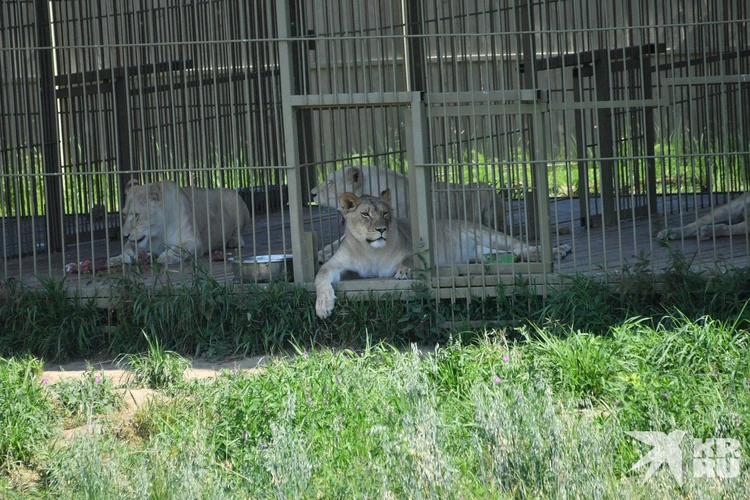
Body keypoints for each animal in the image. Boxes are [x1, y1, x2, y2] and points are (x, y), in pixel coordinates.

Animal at [110, 180, 253, 266]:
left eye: (136, 215)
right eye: (124, 214)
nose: (125, 235)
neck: (158, 233)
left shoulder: (194, 240)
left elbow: (179, 247)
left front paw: (167, 256)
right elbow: (127, 248)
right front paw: (118, 259)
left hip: (233, 197)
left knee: (239, 231)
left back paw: (234, 241)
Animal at [314, 188, 572, 320]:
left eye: (386, 214)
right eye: (366, 214)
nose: (381, 230)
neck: (371, 250)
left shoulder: (414, 247)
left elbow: (411, 259)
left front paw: (404, 272)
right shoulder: (338, 264)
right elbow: (320, 275)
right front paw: (323, 306)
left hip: (489, 235)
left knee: (522, 245)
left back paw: (557, 251)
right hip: (484, 253)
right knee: (509, 255)